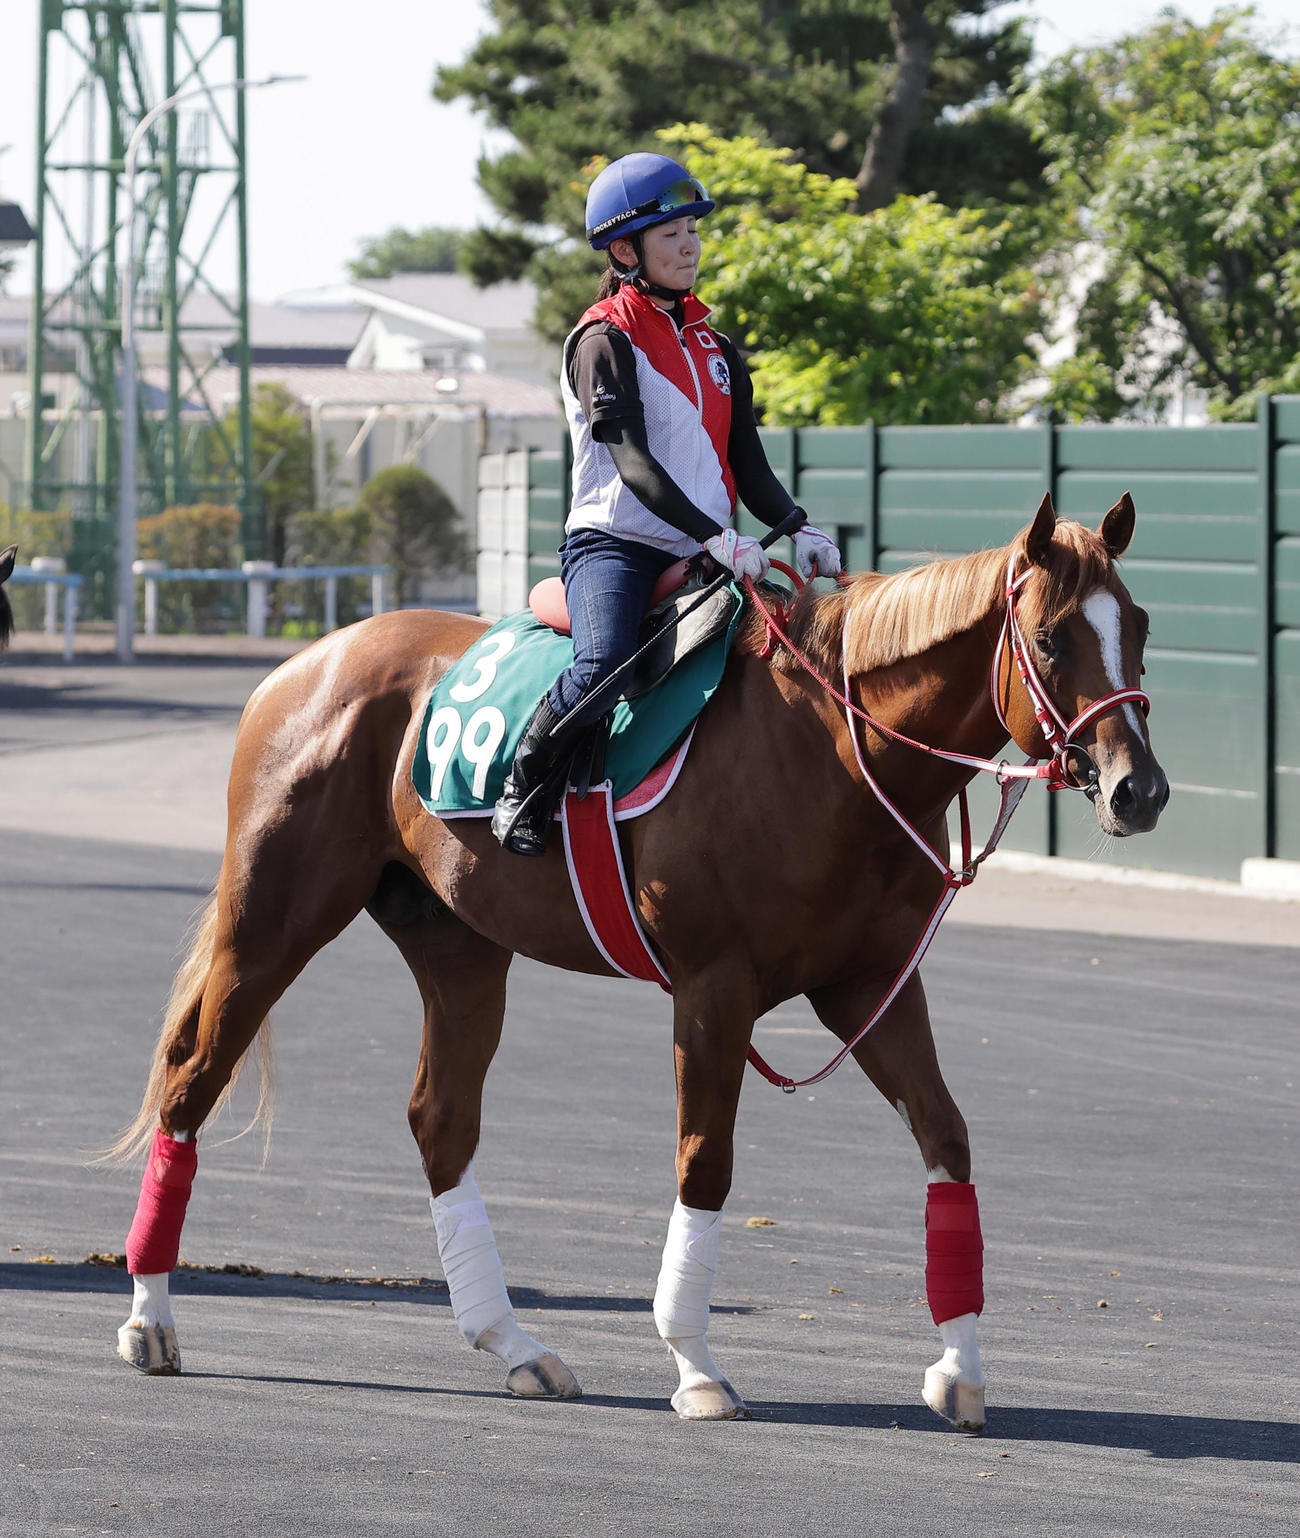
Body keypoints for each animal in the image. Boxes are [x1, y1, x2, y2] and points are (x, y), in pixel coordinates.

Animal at [109, 492, 1168, 1429]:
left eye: (1141, 625)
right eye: (1053, 638)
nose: (1141, 789)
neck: (828, 745)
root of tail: (304, 666)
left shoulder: (869, 988)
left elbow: (947, 1141)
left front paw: (960, 1367)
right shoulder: (714, 991)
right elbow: (706, 1165)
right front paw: (696, 1367)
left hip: (459, 949)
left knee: (440, 1121)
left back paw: (513, 1345)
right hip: (271, 924)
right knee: (191, 1078)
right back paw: (150, 1316)